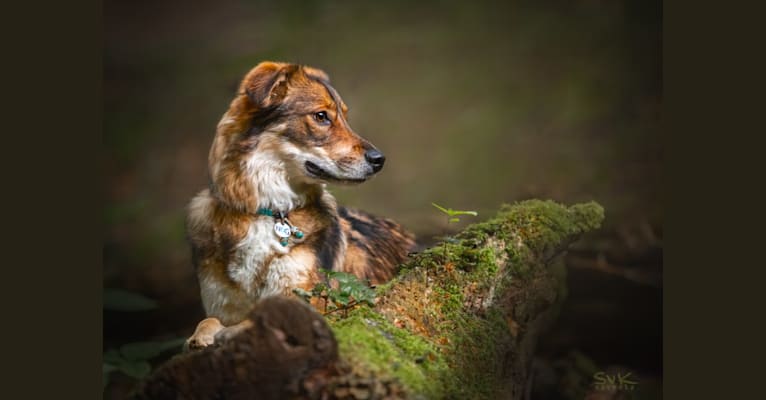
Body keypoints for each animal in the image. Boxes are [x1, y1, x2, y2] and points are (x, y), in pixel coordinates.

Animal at [184, 61, 414, 348]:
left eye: (345, 117)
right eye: (321, 116)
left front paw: (232, 331)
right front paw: (201, 336)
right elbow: (208, 320)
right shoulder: (222, 303)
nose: (379, 159)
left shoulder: (309, 300)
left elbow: (260, 319)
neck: (267, 212)